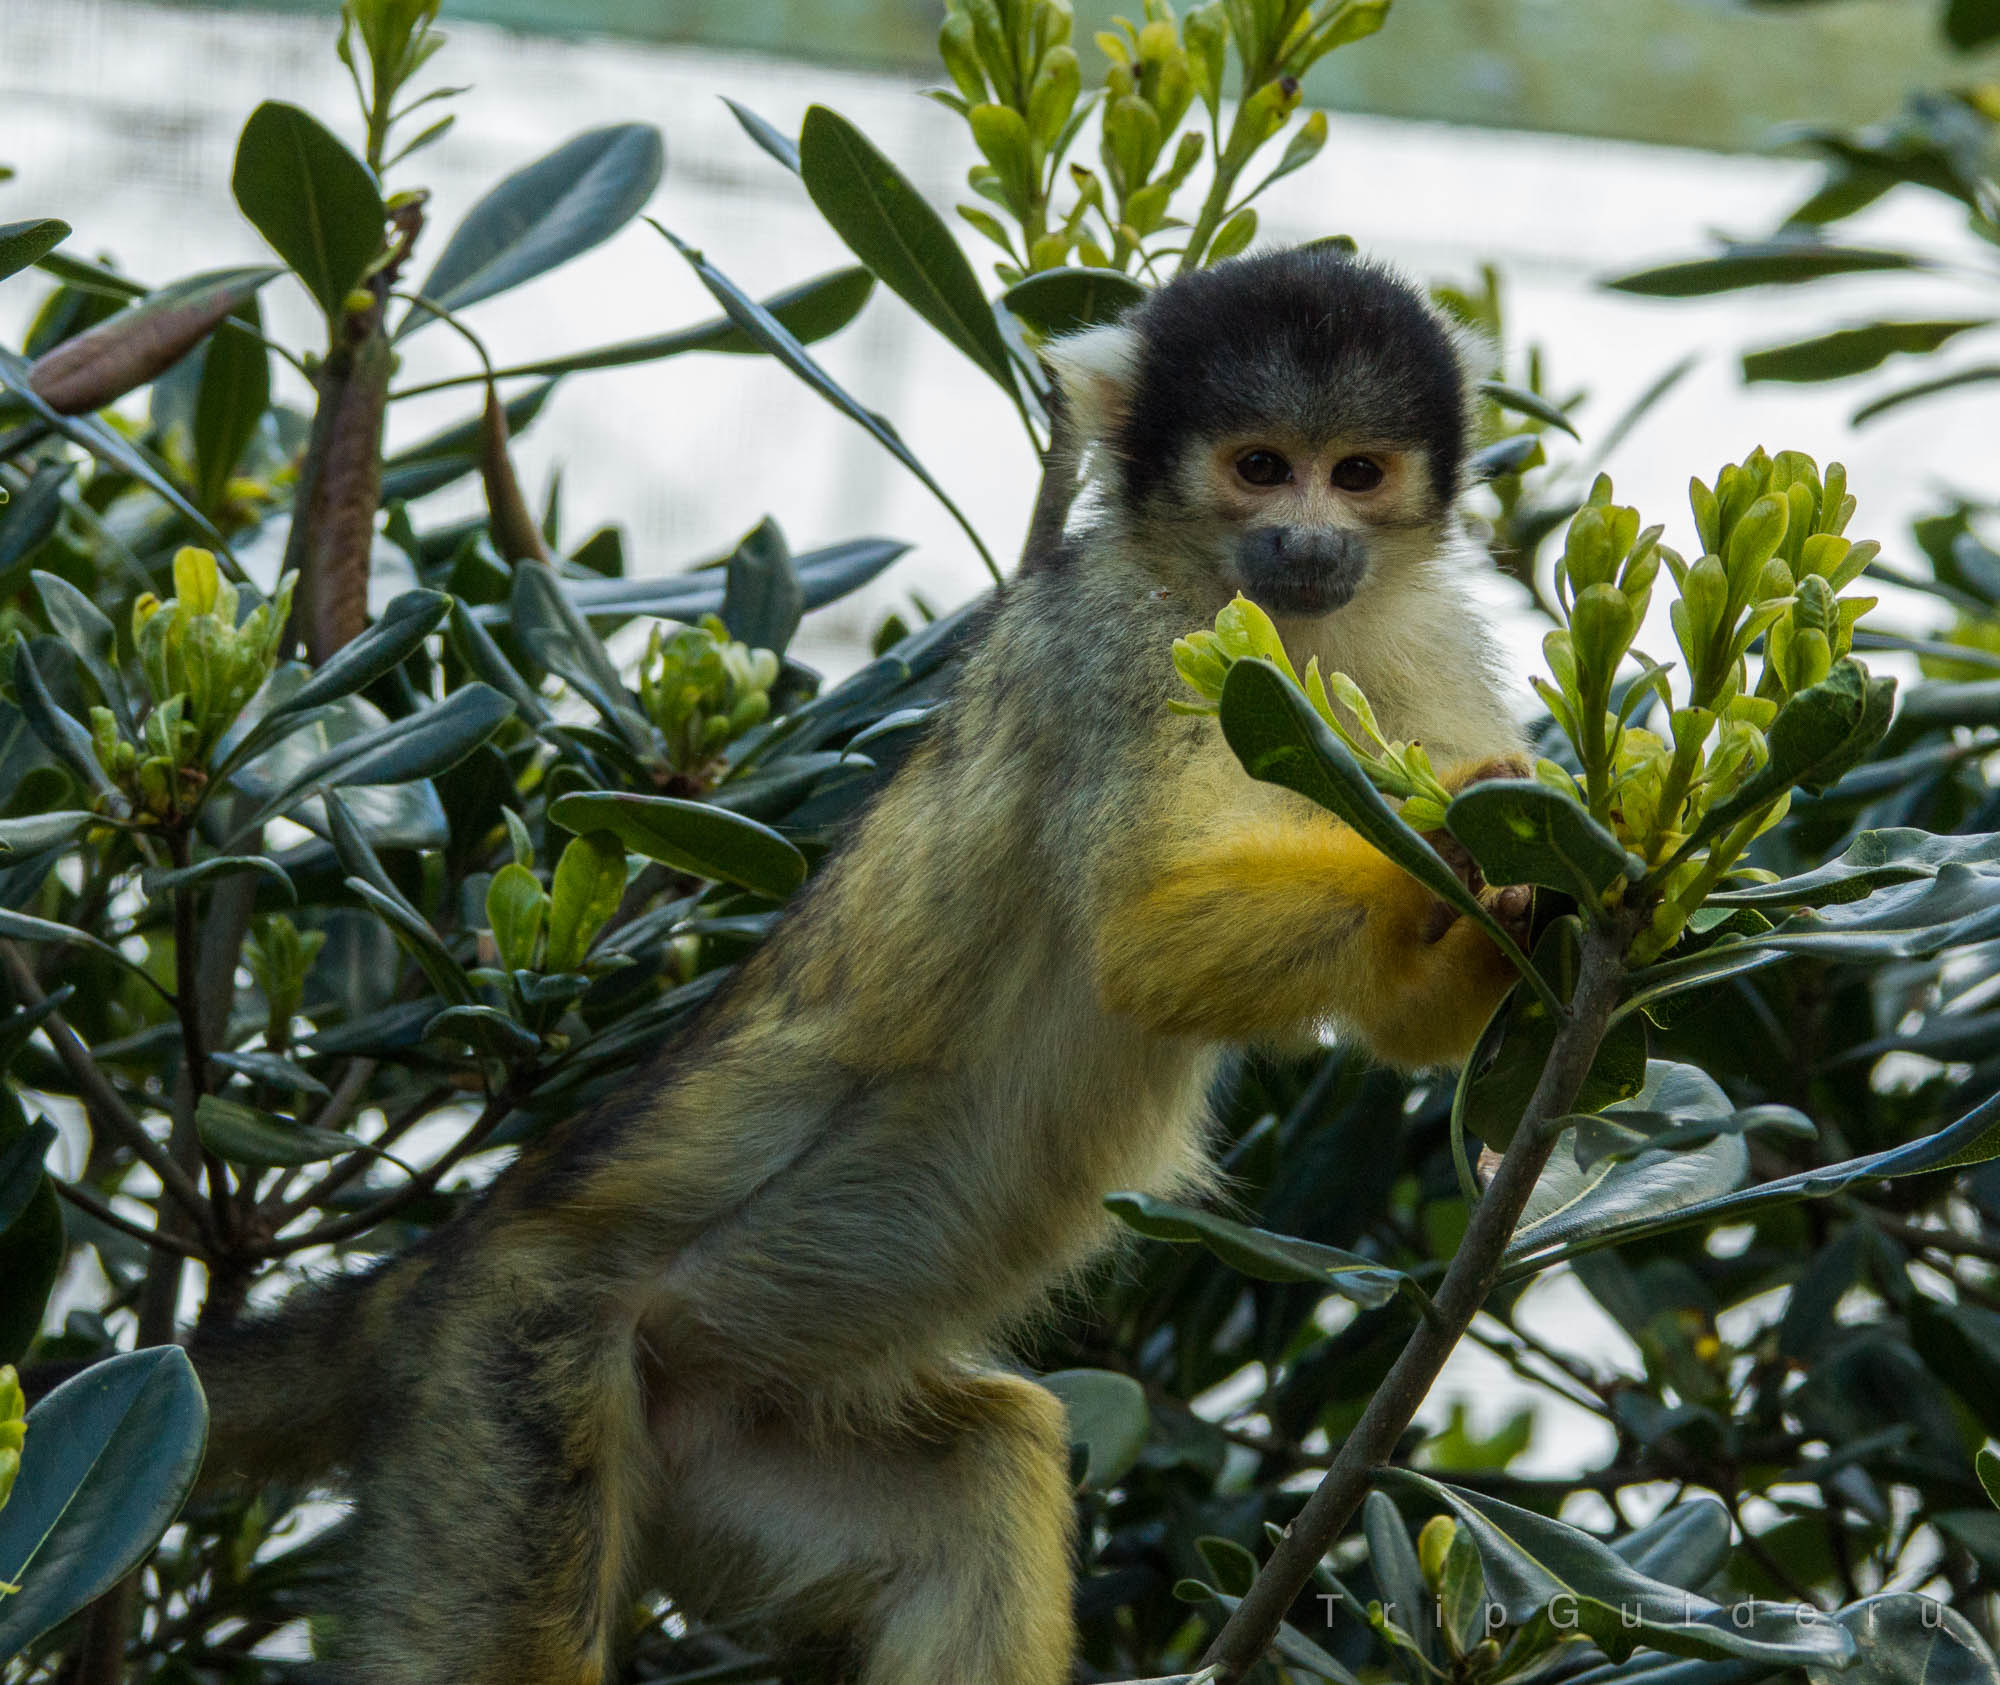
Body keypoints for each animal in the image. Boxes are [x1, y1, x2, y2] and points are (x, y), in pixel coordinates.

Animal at [191, 245, 1531, 1685]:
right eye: (1261, 466)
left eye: (1357, 473)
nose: (1310, 541)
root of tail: (432, 1268)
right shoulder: (1125, 636)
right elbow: (1146, 933)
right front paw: (1463, 847)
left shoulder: (1423, 642)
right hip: (506, 1373)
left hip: (714, 1437)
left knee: (984, 1471)